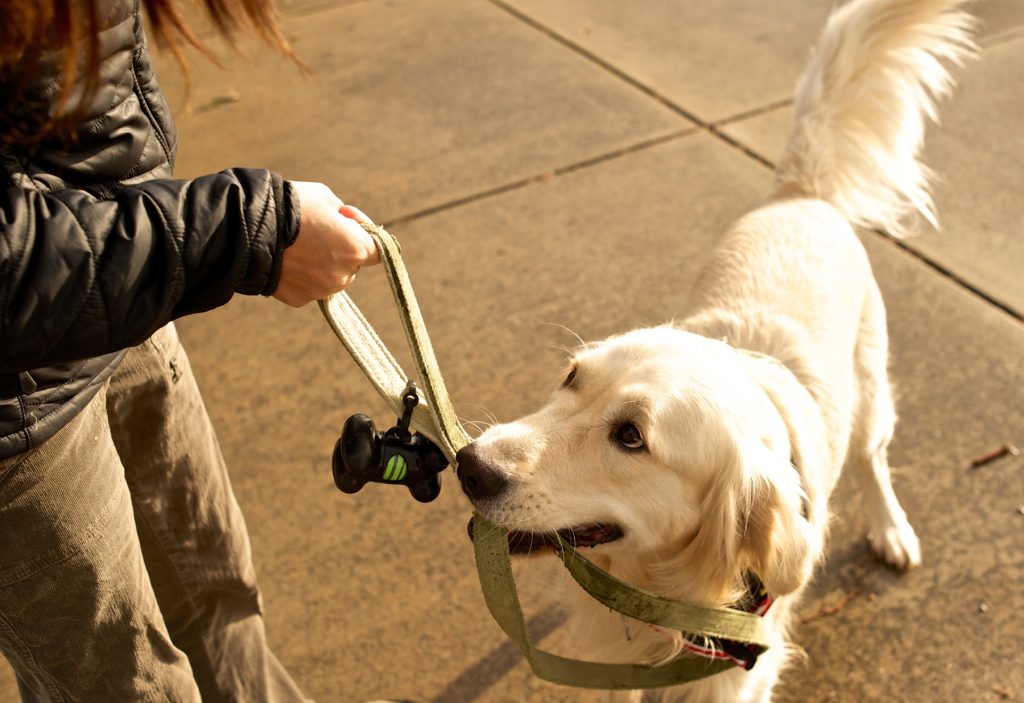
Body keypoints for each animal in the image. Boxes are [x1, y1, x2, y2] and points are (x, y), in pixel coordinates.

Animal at [458, 2, 974, 699]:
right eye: (570, 379)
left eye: (631, 437)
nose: (469, 466)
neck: (655, 592)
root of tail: (802, 194)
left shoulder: (734, 673)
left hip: (870, 392)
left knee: (874, 460)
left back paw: (892, 530)